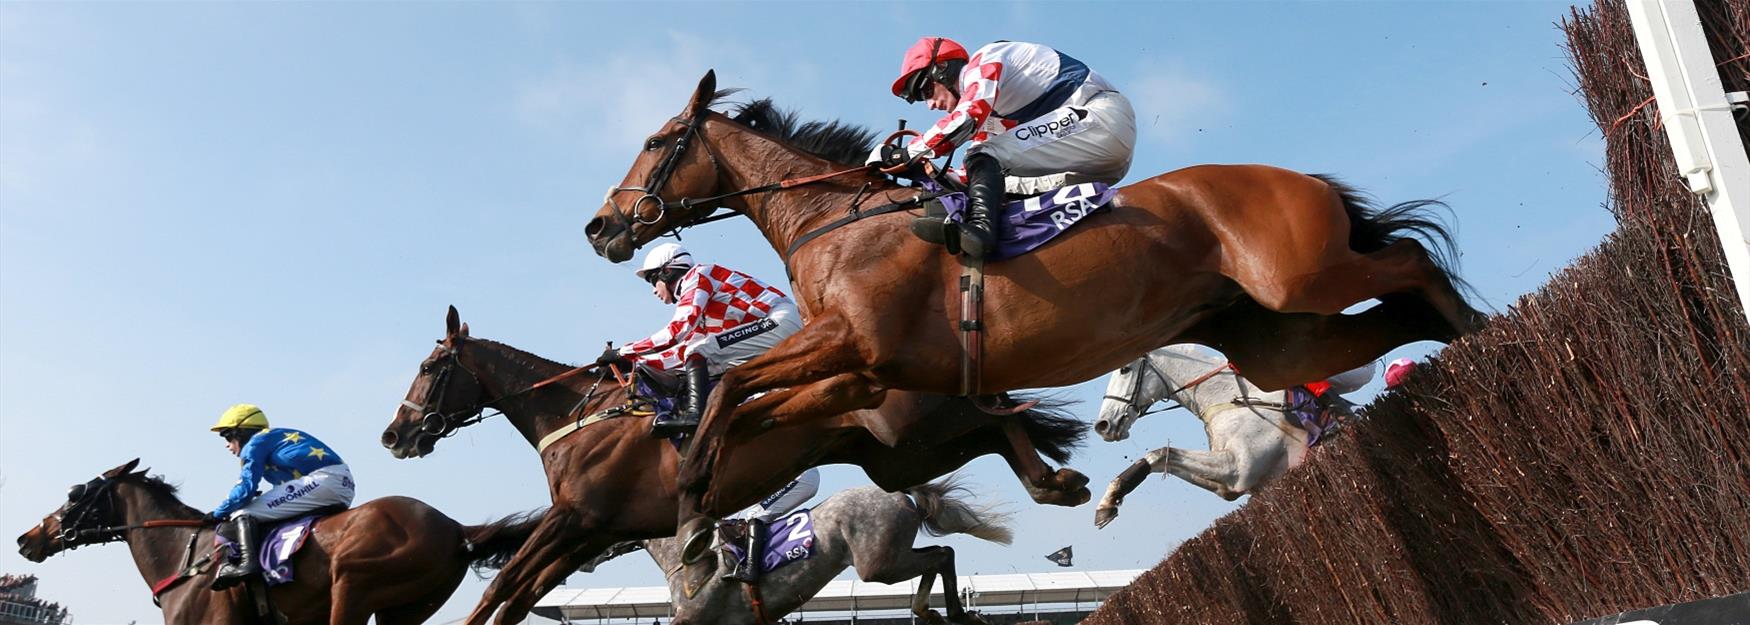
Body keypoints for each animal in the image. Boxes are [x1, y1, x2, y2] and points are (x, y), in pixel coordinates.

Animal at [17, 458, 535, 623]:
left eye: (74, 493)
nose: (27, 538)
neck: (186, 556)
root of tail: (456, 527)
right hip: (404, 610)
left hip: (353, 586)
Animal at [584, 476, 1008, 623]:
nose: (585, 559)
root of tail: (901, 493)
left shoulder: (692, 620)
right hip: (891, 555)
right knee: (939, 554)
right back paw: (931, 611)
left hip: (877, 564)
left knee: (943, 554)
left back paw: (953, 612)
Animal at [1078, 343, 1379, 521]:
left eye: (1124, 369)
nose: (1103, 425)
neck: (1227, 397)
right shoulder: (1229, 485)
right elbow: (1164, 455)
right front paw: (1109, 501)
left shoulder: (1237, 469)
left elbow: (1158, 453)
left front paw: (1108, 501)